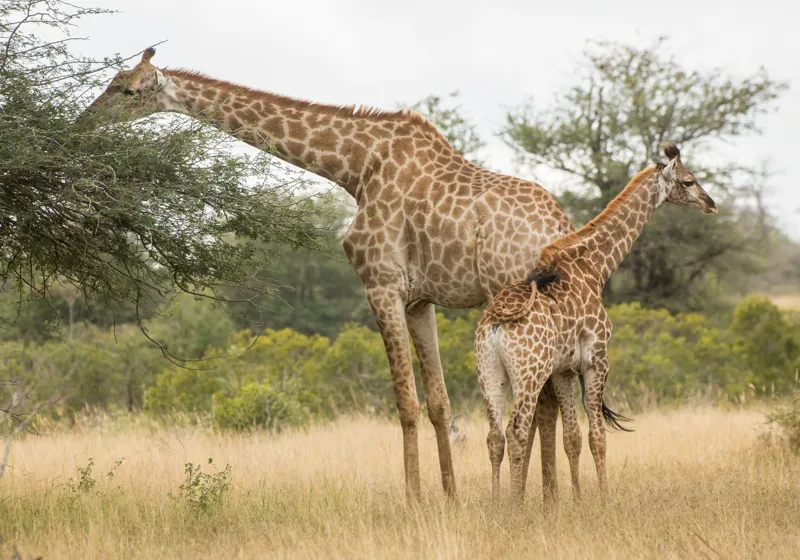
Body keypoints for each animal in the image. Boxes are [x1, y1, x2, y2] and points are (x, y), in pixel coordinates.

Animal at [79, 47, 613, 501]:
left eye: (128, 90)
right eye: (112, 82)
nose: (84, 122)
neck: (356, 167)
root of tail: (560, 225)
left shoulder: (379, 284)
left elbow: (404, 402)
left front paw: (414, 500)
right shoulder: (419, 299)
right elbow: (438, 402)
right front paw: (451, 497)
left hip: (515, 301)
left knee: (541, 403)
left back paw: (542, 499)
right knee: (546, 402)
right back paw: (549, 498)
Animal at [474, 143, 717, 503]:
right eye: (688, 181)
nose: (710, 203)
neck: (595, 266)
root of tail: (495, 324)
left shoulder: (562, 370)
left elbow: (572, 437)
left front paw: (577, 500)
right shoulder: (596, 359)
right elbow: (597, 437)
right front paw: (604, 500)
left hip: (490, 373)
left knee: (494, 436)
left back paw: (496, 504)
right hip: (528, 374)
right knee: (516, 431)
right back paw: (515, 505)